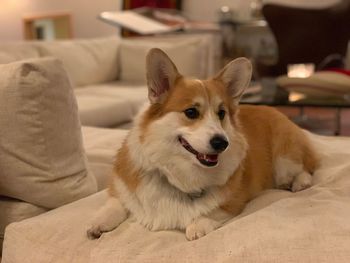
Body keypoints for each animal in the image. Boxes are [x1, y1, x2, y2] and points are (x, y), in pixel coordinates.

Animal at [86, 48, 318, 241]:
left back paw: (300, 183)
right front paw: (98, 223)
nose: (222, 143)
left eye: (221, 113)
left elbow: (211, 211)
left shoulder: (233, 201)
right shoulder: (121, 187)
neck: (177, 172)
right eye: (191, 112)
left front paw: (197, 225)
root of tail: (277, 111)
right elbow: (116, 202)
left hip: (284, 160)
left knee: (306, 168)